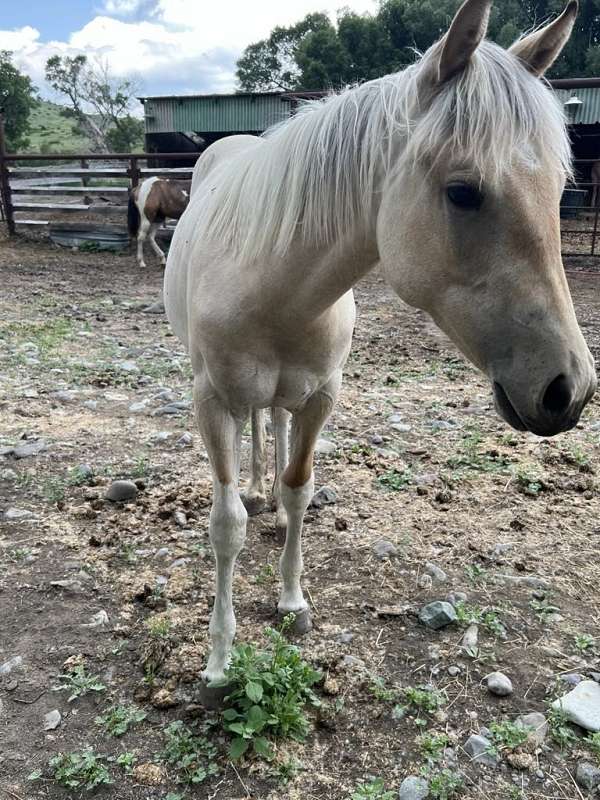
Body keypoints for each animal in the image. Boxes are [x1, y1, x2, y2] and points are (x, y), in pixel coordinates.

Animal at [164, 0, 596, 698]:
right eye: (463, 191)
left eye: (559, 191)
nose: (570, 390)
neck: (273, 287)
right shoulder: (209, 402)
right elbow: (225, 525)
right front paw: (220, 660)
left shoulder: (322, 396)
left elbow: (300, 487)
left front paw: (292, 599)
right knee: (255, 428)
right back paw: (254, 490)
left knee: (273, 421)